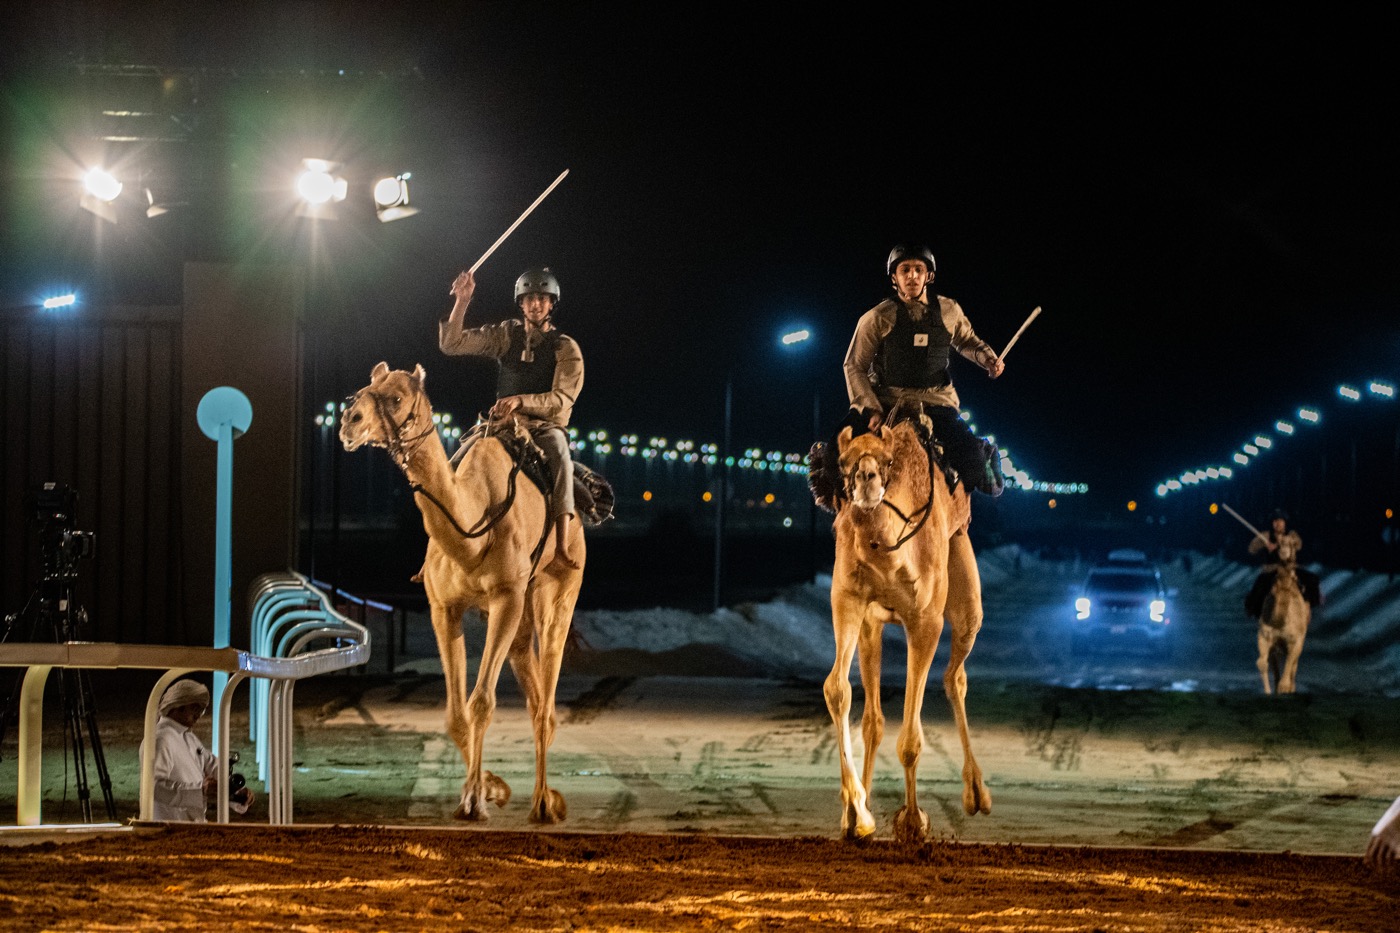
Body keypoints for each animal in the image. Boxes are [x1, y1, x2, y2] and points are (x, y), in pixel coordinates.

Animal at [339, 362, 583, 823]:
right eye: (361, 390)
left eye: (396, 398)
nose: (349, 421)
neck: (473, 524)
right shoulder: (444, 607)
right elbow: (455, 713)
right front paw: (490, 788)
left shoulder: (507, 597)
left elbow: (481, 702)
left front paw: (474, 801)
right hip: (518, 614)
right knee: (531, 686)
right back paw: (542, 795)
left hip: (557, 587)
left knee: (547, 693)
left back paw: (545, 804)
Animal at [825, 420, 991, 842]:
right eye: (843, 461)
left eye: (887, 461)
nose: (866, 480)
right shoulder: (849, 601)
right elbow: (838, 690)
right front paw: (857, 815)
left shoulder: (926, 620)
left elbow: (912, 740)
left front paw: (913, 821)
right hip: (873, 627)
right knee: (874, 718)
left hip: (965, 597)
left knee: (955, 676)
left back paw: (977, 794)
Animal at [1256, 536, 1310, 695]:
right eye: (1278, 544)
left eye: (1292, 544)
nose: (1284, 550)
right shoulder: (1264, 635)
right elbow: (1262, 663)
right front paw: (1268, 692)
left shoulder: (1296, 639)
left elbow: (1290, 665)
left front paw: (1285, 688)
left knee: (1293, 665)